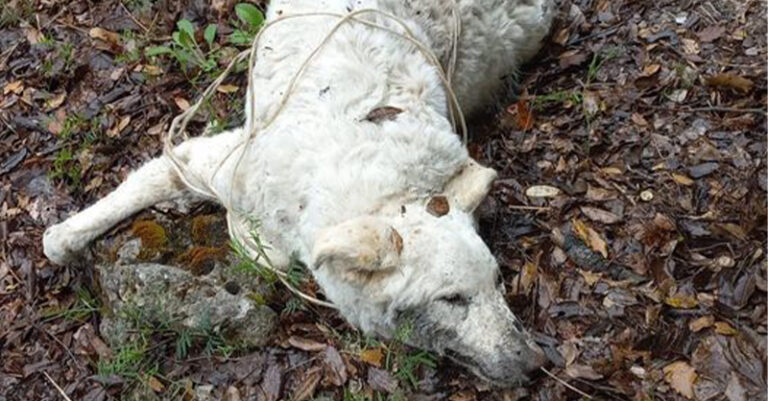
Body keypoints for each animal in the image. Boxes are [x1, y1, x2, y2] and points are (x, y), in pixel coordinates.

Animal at [43, 0, 552, 384]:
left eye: (498, 282)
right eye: (451, 300)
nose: (535, 363)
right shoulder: (224, 162)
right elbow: (146, 181)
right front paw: (65, 236)